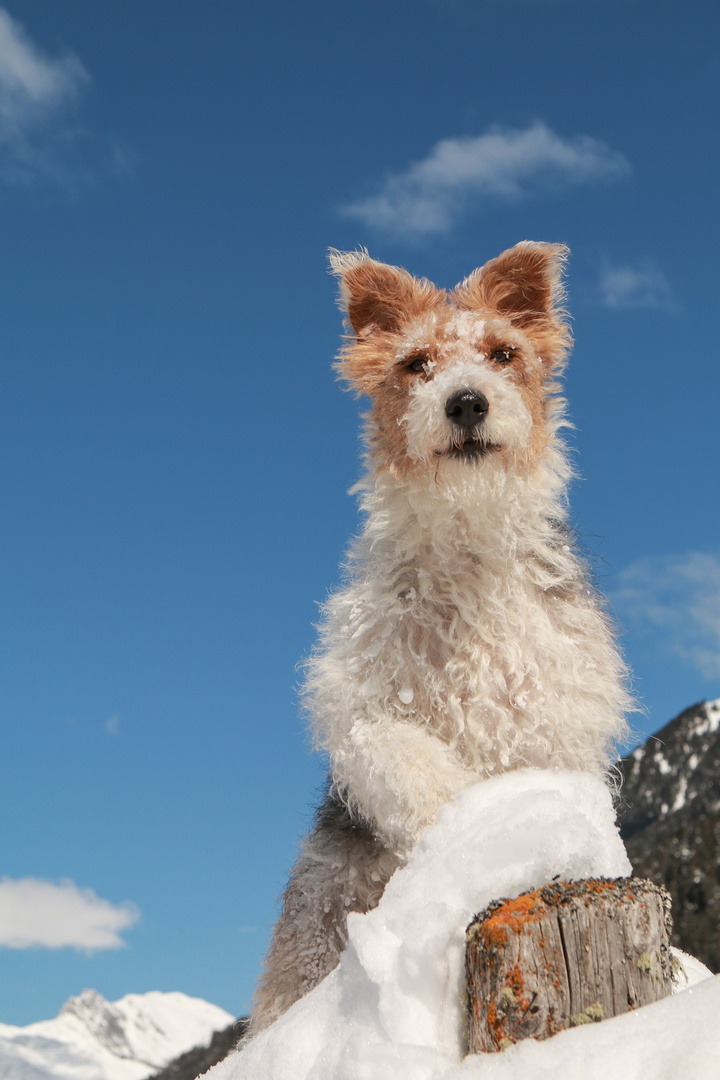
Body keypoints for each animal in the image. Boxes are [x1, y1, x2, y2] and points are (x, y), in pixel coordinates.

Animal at [249, 240, 630, 1032]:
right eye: (416, 362)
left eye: (503, 352)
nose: (466, 402)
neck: (467, 547)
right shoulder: (360, 704)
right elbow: (406, 759)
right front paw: (463, 828)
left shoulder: (556, 717)